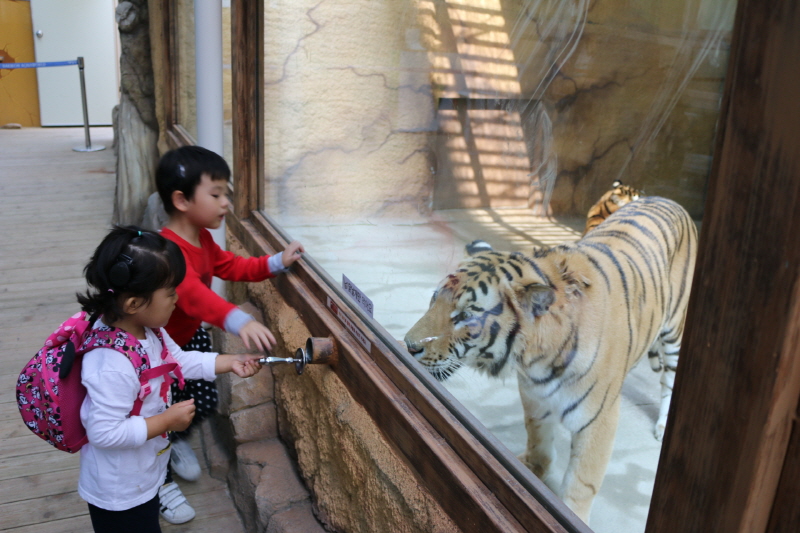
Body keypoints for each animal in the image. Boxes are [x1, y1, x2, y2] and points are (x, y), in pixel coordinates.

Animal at [406, 195, 692, 520]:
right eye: (434, 298)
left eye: (465, 317)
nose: (409, 346)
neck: (536, 360)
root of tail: (666, 199)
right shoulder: (534, 396)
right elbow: (538, 437)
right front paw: (532, 468)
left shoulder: (598, 419)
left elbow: (582, 482)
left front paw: (573, 512)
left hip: (674, 335)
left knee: (670, 381)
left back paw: (662, 426)